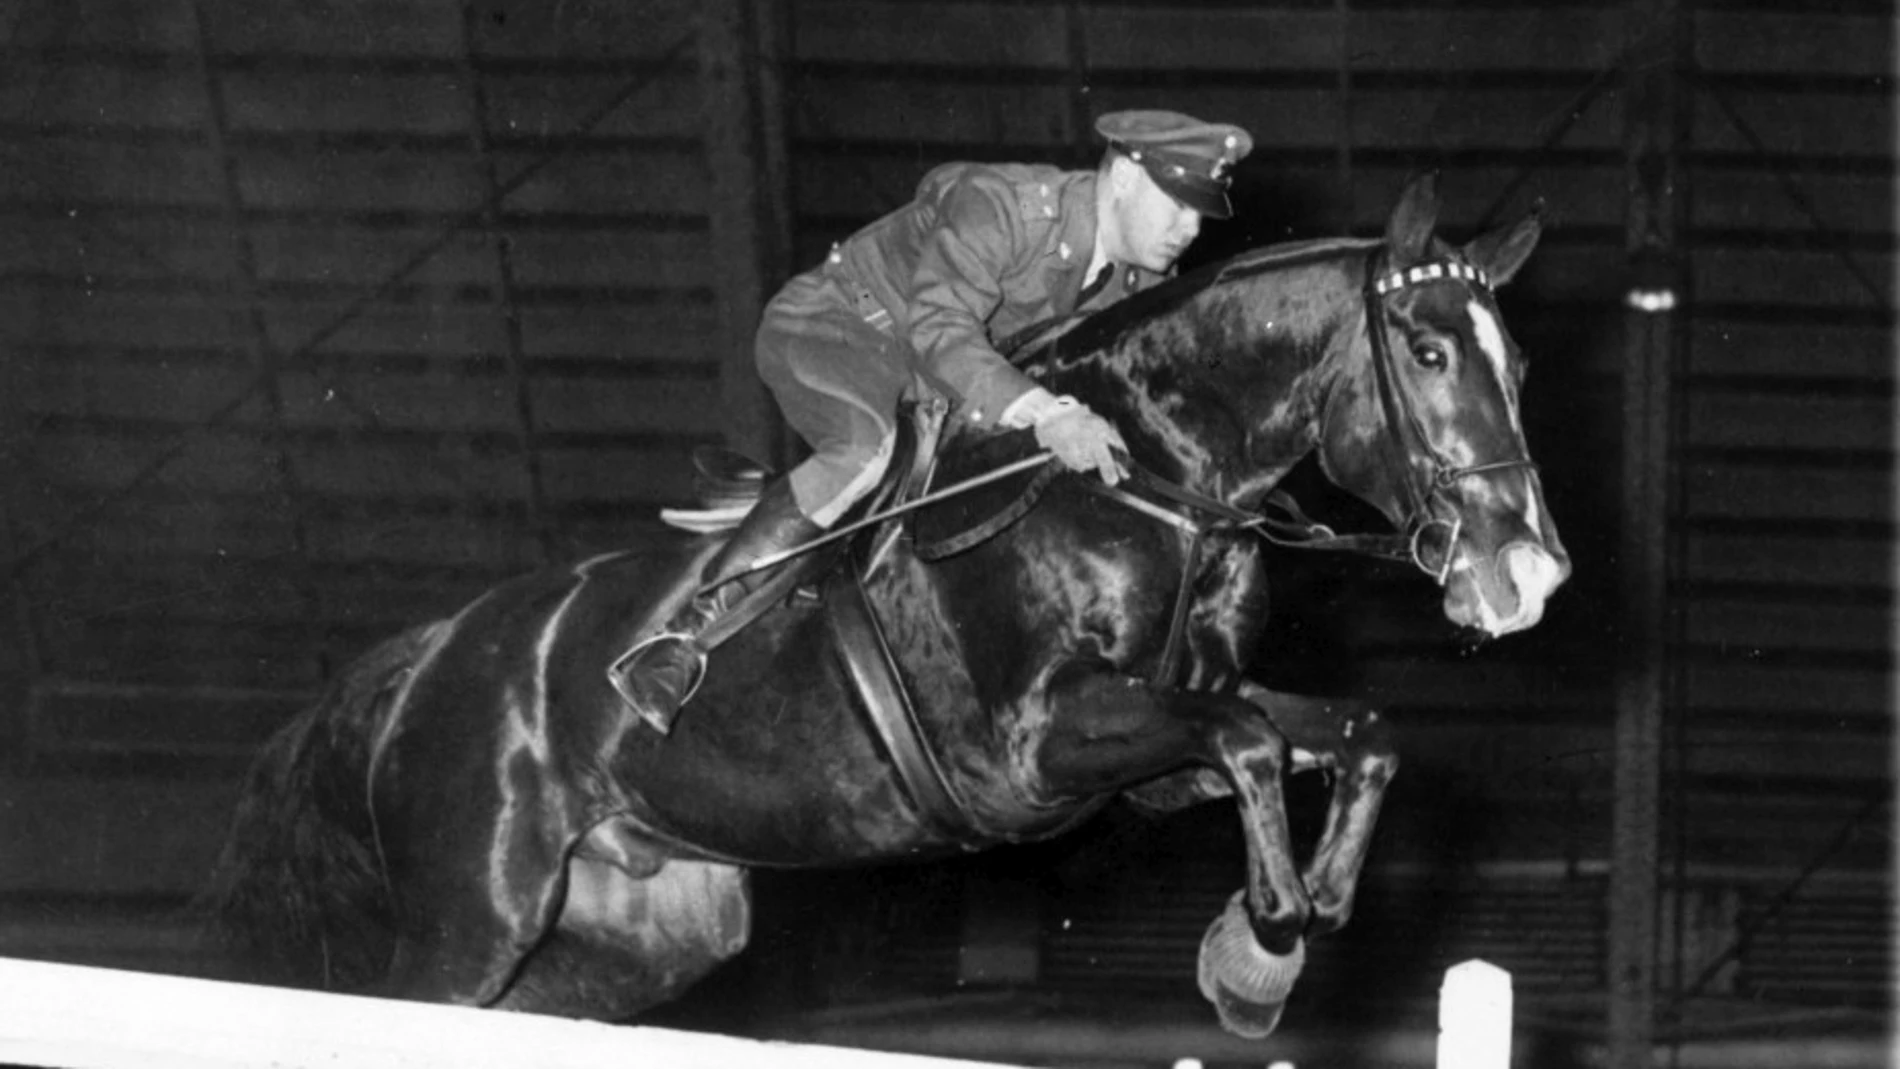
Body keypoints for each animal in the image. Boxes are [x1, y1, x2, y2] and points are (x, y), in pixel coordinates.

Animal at [205, 173, 1569, 1038]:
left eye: (1520, 361)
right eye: (1430, 353)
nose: (1528, 576)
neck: (1153, 480)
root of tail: (431, 657)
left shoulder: (1169, 734)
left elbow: (1350, 732)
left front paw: (1291, 927)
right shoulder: (1037, 743)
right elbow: (1245, 743)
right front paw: (1263, 944)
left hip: (627, 935)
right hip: (476, 909)